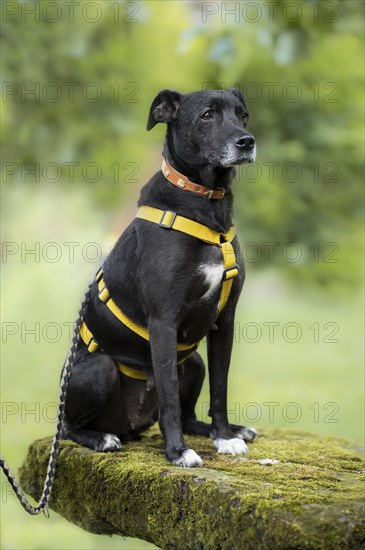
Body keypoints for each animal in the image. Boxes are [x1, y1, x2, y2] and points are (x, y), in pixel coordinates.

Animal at [62, 88, 256, 468]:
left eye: (242, 115)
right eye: (207, 115)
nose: (247, 142)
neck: (204, 203)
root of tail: (131, 426)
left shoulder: (224, 321)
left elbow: (221, 389)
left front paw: (225, 437)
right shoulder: (163, 321)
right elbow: (168, 399)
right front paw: (178, 452)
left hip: (193, 362)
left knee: (191, 414)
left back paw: (232, 431)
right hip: (100, 368)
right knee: (68, 427)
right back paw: (101, 438)